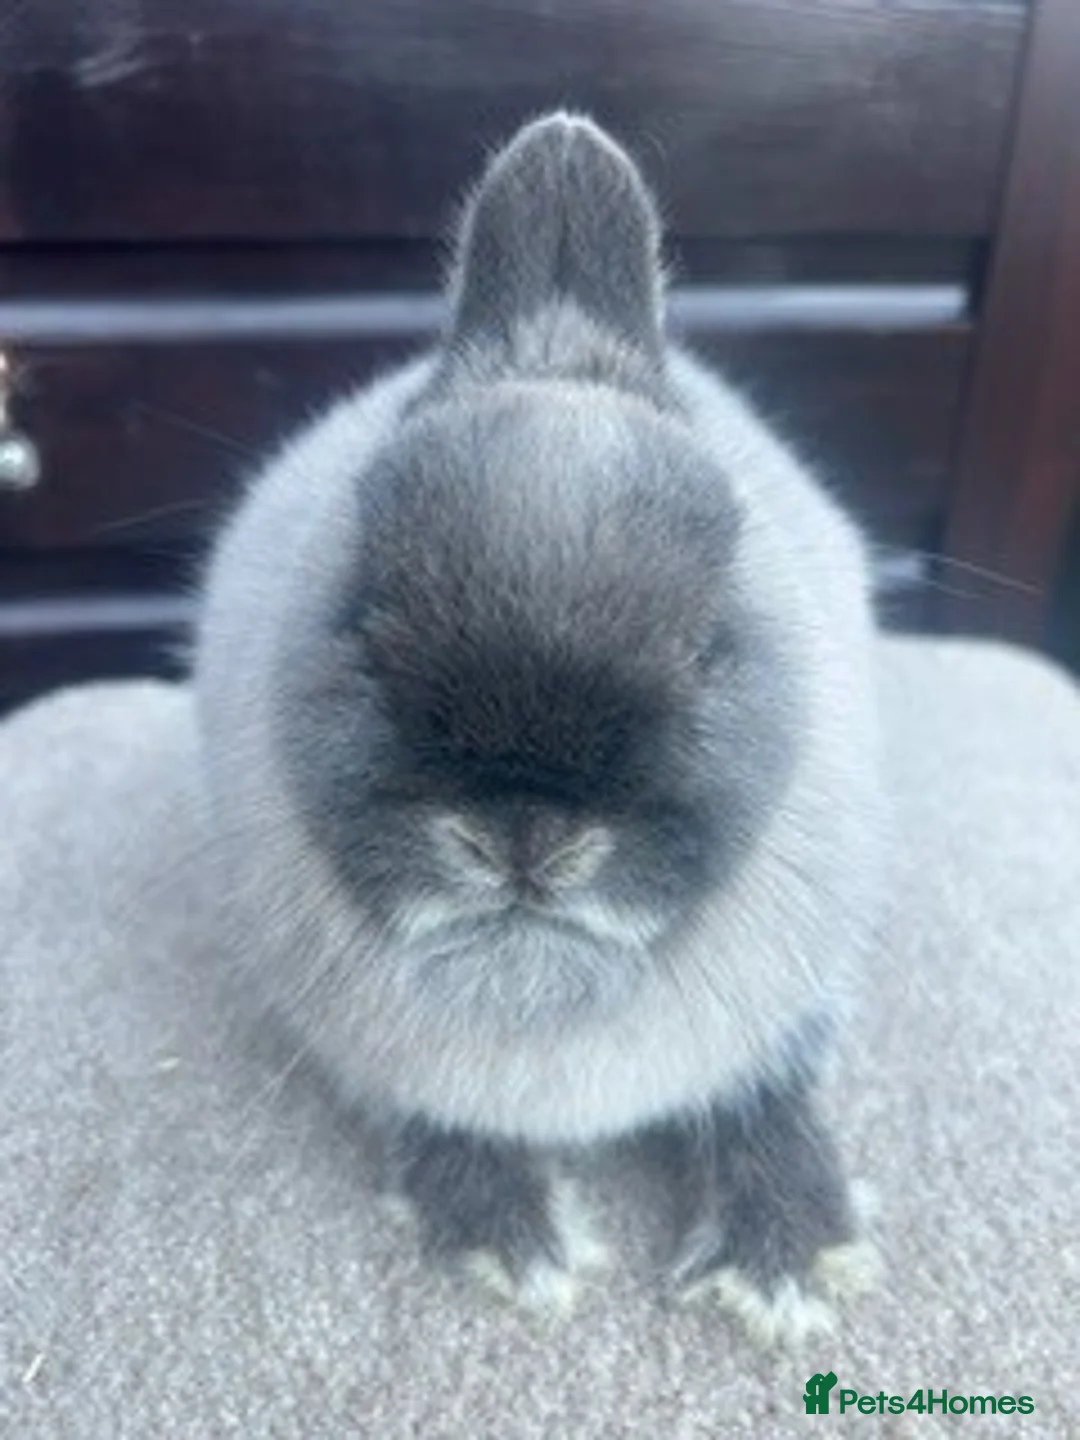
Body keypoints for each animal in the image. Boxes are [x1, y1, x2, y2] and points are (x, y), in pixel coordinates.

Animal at [192, 112, 886, 1344]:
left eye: (709, 641)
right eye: (360, 623)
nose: (525, 837)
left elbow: (771, 1099)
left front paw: (791, 1264)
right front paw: (511, 1243)